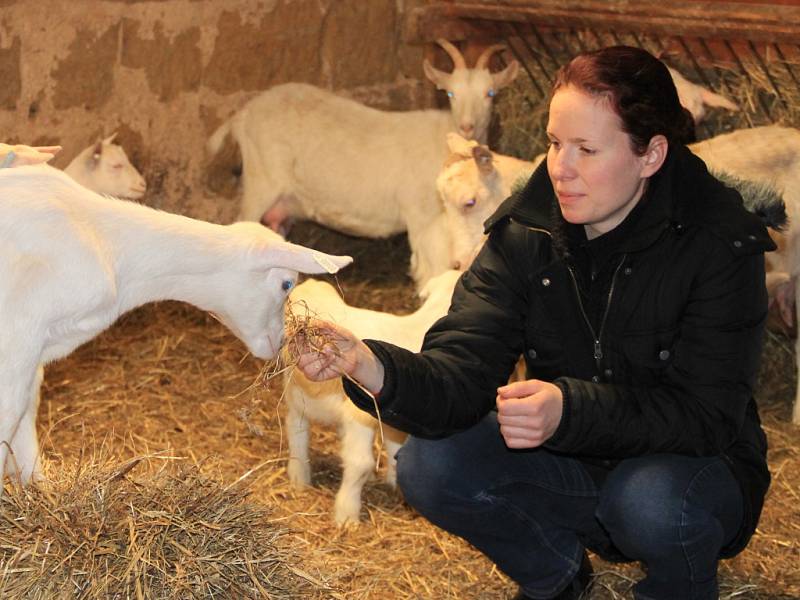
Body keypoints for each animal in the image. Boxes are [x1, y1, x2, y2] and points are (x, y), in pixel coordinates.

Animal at [0, 165, 352, 492]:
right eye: (286, 284)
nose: (280, 341)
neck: (110, 244)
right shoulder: (20, 333)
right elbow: (10, 411)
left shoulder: (36, 350)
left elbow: (27, 409)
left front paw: (35, 484)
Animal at [206, 38, 520, 290]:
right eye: (451, 94)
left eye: (490, 94)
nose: (468, 126)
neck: (443, 138)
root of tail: (243, 116)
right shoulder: (423, 217)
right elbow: (430, 270)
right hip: (261, 181)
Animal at [286, 270, 462, 524]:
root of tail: (309, 285)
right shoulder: (358, 414)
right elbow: (360, 463)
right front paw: (347, 514)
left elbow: (395, 447)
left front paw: (394, 482)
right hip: (296, 389)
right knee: (296, 428)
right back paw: (298, 476)